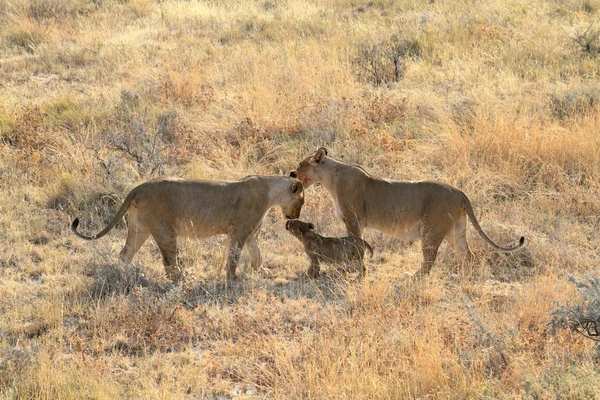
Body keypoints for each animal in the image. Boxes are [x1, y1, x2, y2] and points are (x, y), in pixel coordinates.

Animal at [71, 175, 304, 282]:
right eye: (302, 201)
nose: (296, 216)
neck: (271, 193)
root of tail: (139, 187)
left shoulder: (250, 235)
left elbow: (257, 254)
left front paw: (261, 271)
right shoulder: (239, 232)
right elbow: (233, 257)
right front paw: (232, 279)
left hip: (140, 228)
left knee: (125, 253)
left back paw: (123, 275)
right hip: (165, 231)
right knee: (169, 263)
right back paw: (184, 279)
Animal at [290, 148, 524, 278]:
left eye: (300, 165)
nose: (292, 173)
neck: (331, 178)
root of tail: (459, 191)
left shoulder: (352, 220)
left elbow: (354, 243)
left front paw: (351, 269)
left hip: (432, 228)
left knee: (430, 259)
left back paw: (412, 276)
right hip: (456, 229)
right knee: (468, 255)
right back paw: (464, 277)